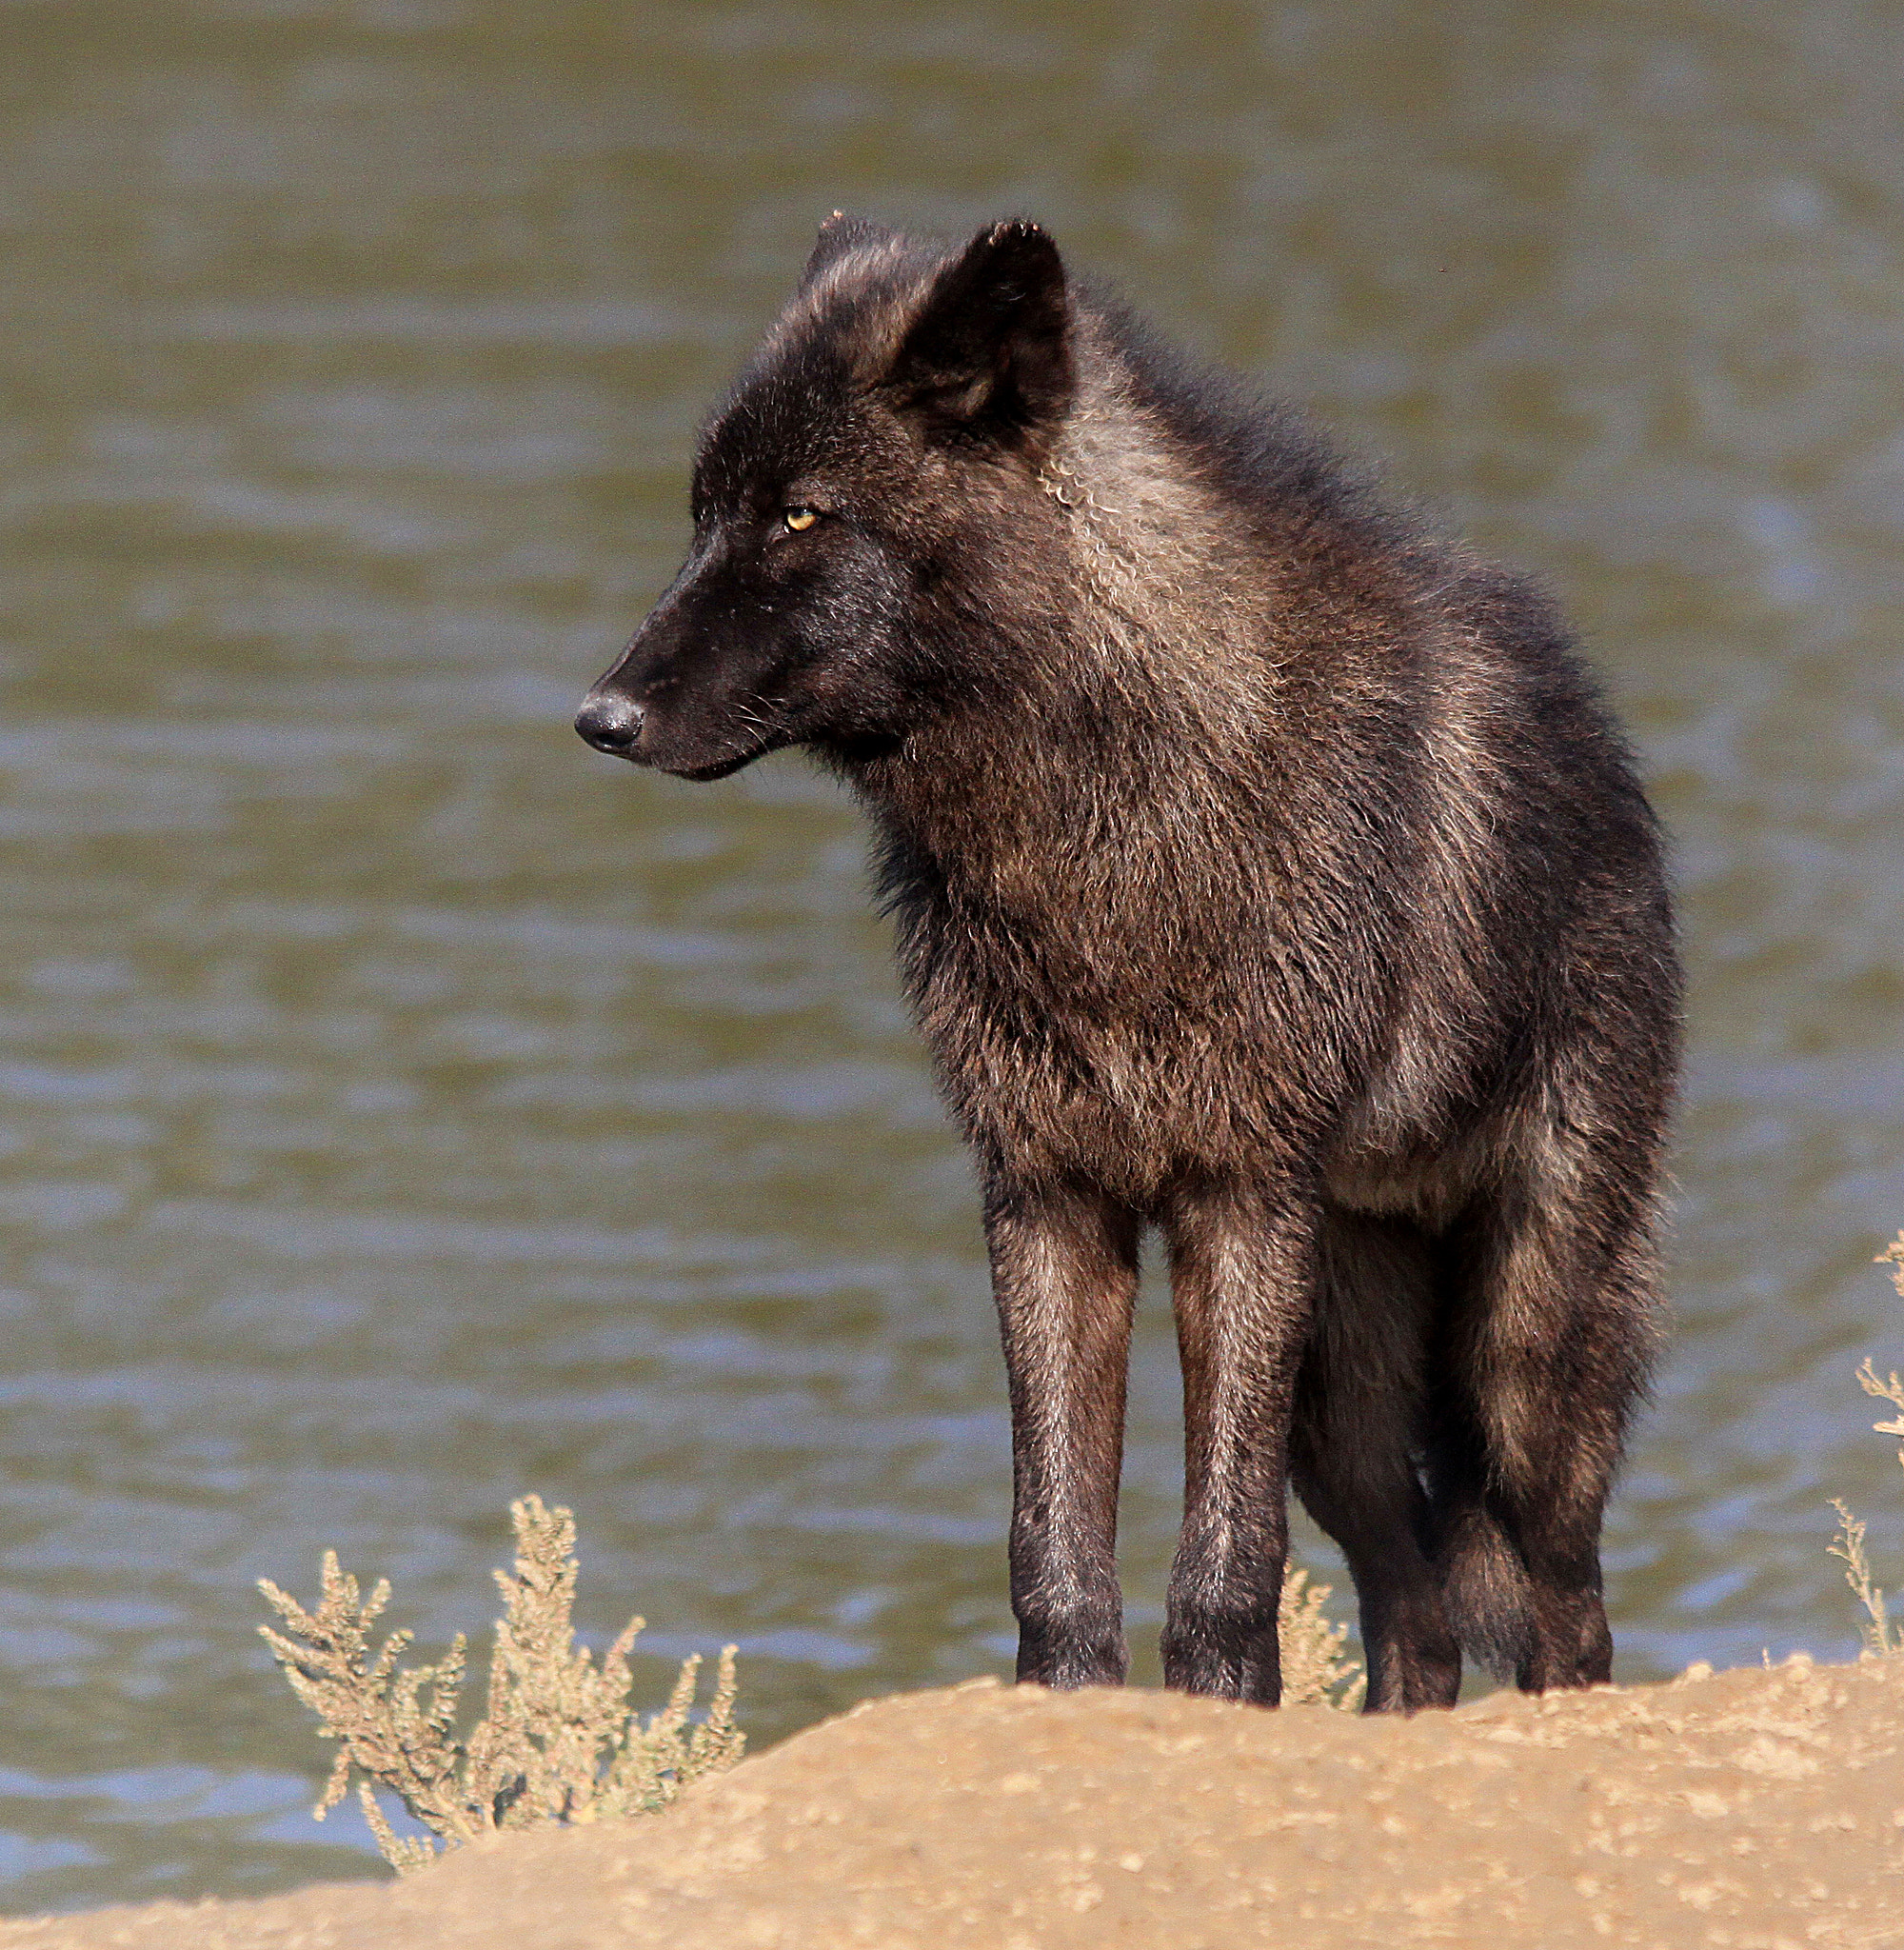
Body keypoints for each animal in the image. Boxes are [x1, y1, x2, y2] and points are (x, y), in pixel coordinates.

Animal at [576, 215, 1680, 1712]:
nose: (599, 716)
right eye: (702, 515)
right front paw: (1073, 1705)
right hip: (1344, 1402)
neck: (1102, 805)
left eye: (801, 515)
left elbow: (1224, 1568)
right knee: (1418, 1612)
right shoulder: (1046, 1196)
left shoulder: (1238, 1200)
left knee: (1567, 1610)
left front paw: (1211, 1710)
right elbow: (1051, 1542)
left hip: (1516, 1363)